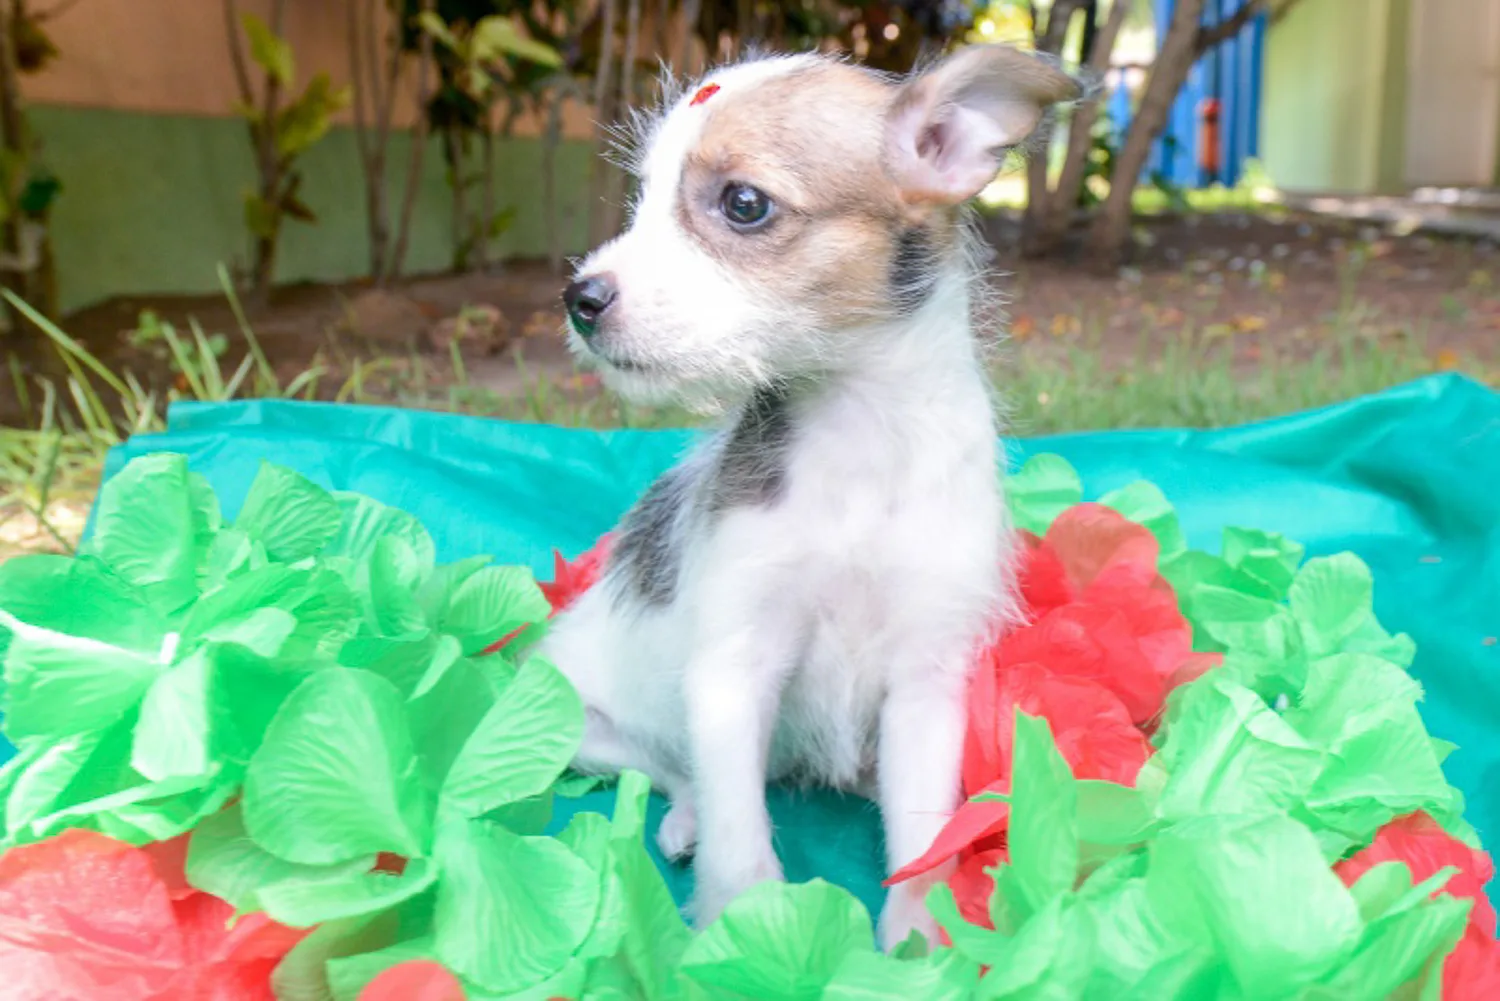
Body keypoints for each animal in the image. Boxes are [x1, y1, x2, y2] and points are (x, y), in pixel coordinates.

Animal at [546, 43, 1086, 948]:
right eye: (641, 198)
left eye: (744, 204)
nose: (581, 298)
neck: (860, 434)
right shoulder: (733, 667)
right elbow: (739, 829)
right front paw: (745, 930)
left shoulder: (925, 681)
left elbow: (921, 831)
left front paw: (917, 936)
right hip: (570, 714)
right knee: (671, 770)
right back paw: (685, 821)